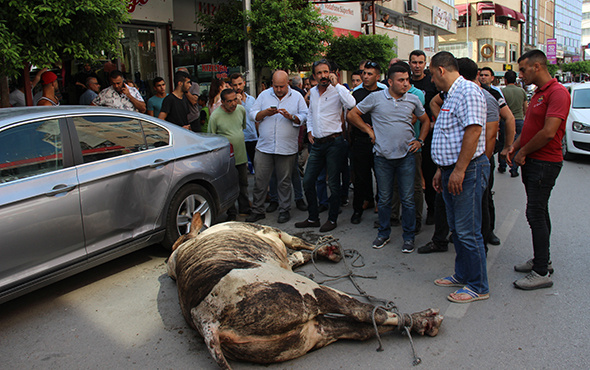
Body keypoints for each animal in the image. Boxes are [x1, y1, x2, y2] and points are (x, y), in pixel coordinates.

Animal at [168, 217, 444, 370]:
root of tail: (208, 322)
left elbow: (299, 254)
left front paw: (328, 250)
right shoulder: (270, 230)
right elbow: (300, 244)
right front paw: (329, 249)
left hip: (305, 336)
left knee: (358, 329)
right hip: (306, 292)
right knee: (364, 312)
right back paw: (423, 319)